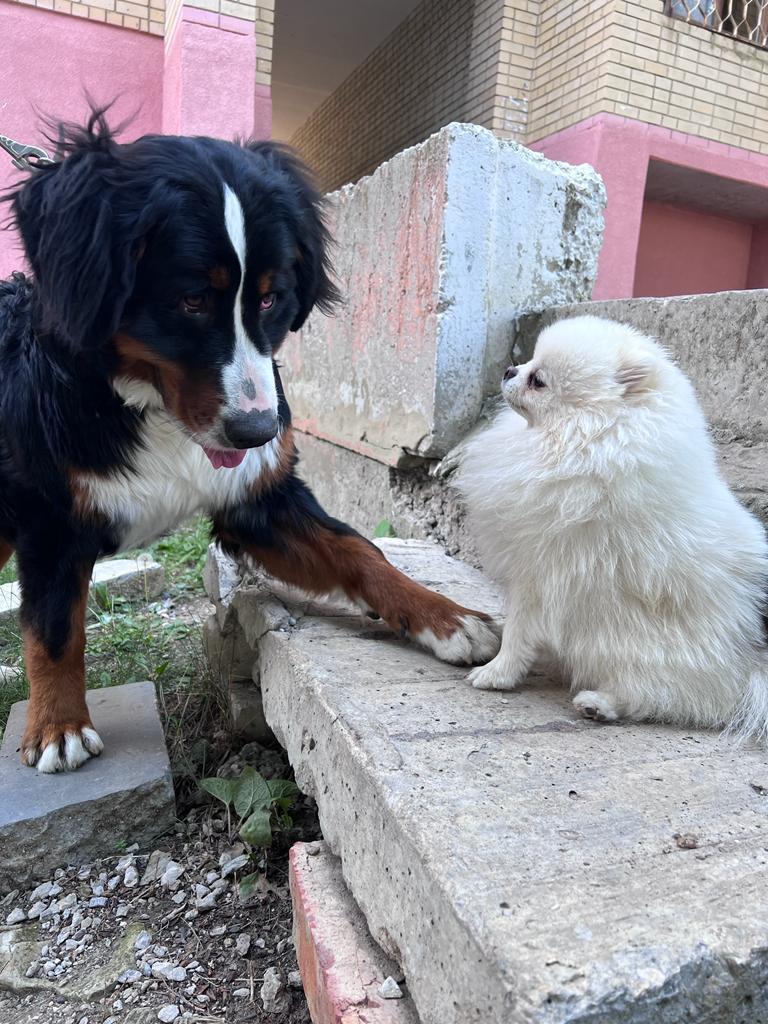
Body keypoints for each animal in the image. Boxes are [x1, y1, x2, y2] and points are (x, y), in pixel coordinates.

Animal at [0, 112, 501, 770]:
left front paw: (447, 617)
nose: (258, 431)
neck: (148, 412)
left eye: (269, 297)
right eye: (190, 300)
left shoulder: (257, 501)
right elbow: (54, 629)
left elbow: (361, 551)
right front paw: (58, 726)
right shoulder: (48, 518)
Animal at [456, 311, 768, 737]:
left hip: (655, 655)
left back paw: (599, 703)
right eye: (527, 363)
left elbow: (520, 631)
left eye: (539, 380)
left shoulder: (540, 572)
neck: (589, 437)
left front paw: (496, 673)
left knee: (671, 698)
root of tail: (752, 656)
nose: (509, 370)